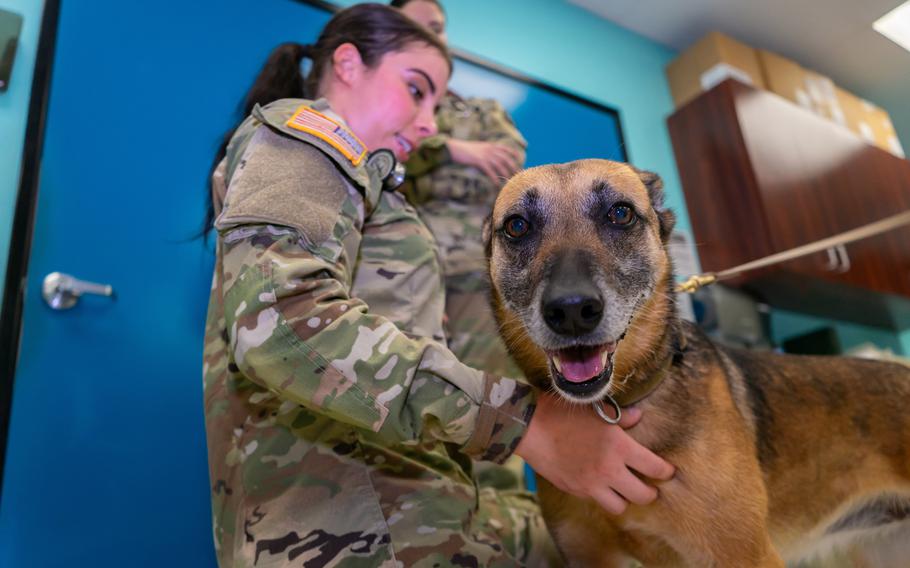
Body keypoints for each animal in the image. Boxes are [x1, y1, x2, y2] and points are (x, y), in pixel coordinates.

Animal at [484, 160, 910, 568]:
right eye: (517, 226)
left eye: (620, 214)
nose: (572, 311)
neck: (619, 407)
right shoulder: (589, 558)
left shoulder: (746, 556)